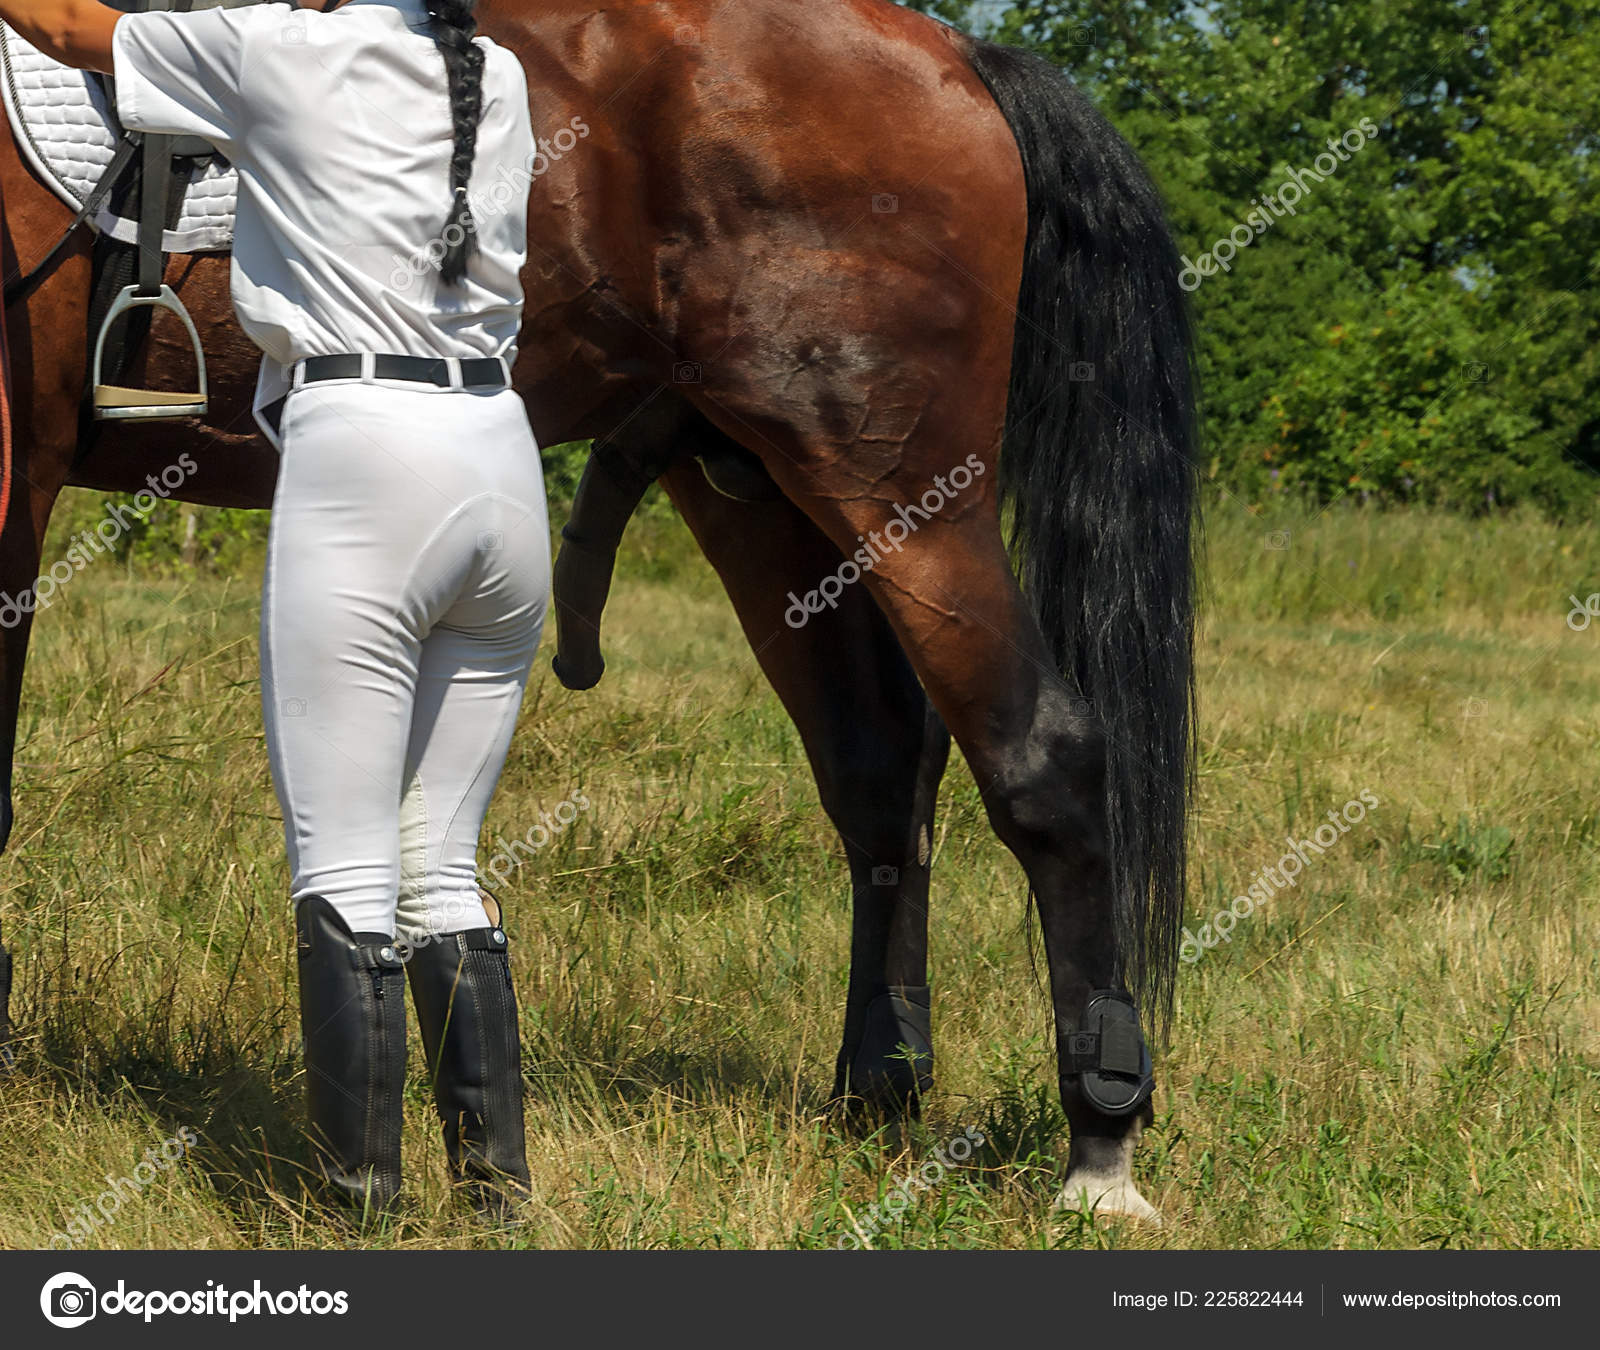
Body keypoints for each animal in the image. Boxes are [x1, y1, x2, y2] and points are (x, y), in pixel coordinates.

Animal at [0, 0, 1196, 1222]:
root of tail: (950, 52)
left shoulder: (15, 469)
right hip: (768, 500)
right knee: (876, 772)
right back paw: (877, 1094)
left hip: (904, 490)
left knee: (1042, 756)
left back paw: (1098, 1149)